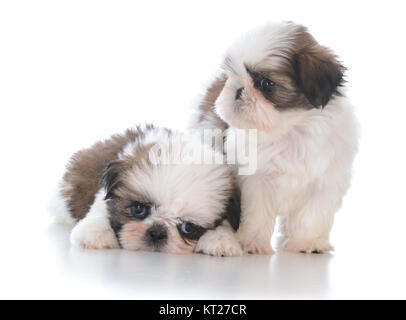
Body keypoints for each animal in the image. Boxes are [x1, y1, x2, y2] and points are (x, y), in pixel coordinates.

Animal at [50, 124, 241, 256]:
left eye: (188, 227)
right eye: (138, 209)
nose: (157, 232)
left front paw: (220, 238)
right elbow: (100, 209)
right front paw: (96, 232)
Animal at [191, 21, 358, 254]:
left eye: (266, 83)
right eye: (233, 75)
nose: (237, 89)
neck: (290, 129)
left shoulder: (324, 180)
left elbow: (312, 215)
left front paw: (308, 243)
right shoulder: (257, 179)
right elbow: (258, 213)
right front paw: (252, 243)